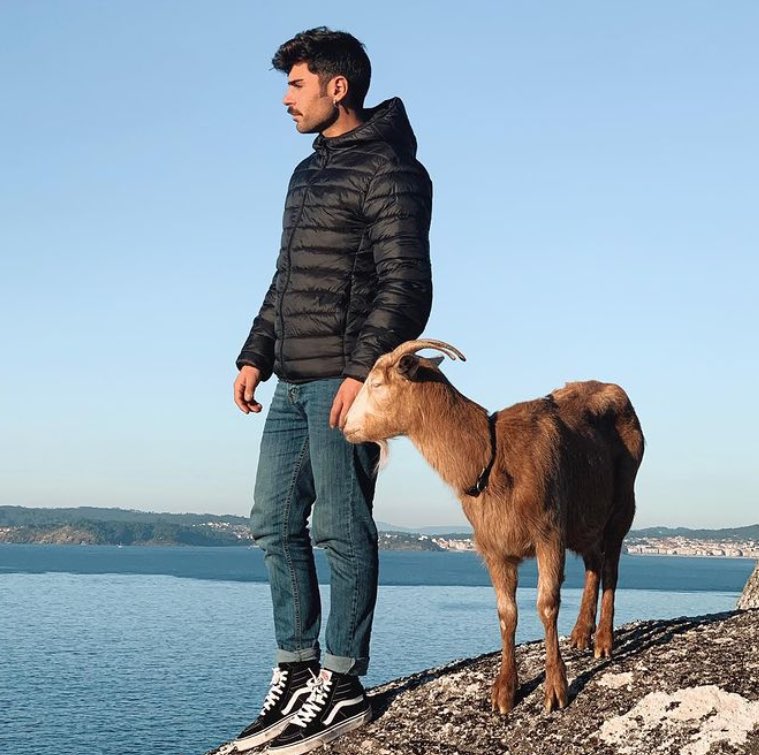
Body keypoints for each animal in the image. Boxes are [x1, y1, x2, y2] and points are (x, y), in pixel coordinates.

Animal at [343, 339, 644, 714]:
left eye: (376, 384)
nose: (345, 425)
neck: (492, 455)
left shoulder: (549, 534)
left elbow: (547, 605)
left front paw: (555, 688)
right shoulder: (493, 547)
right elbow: (506, 613)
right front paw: (504, 690)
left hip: (622, 504)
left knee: (611, 566)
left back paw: (603, 639)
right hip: (585, 518)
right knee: (592, 564)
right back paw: (579, 633)